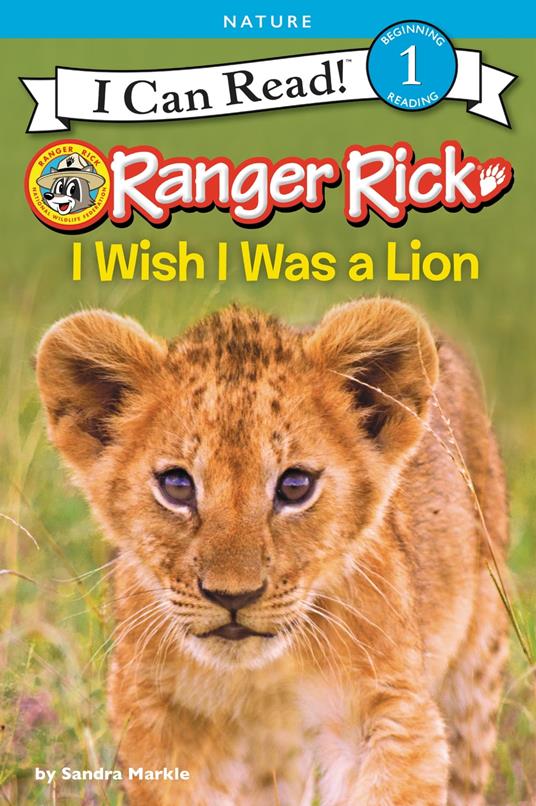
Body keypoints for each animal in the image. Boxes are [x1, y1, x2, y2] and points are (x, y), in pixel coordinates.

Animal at [35, 298, 509, 805]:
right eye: (177, 485)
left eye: (295, 485)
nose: (233, 597)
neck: (262, 674)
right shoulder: (155, 712)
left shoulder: (389, 707)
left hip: (477, 670)